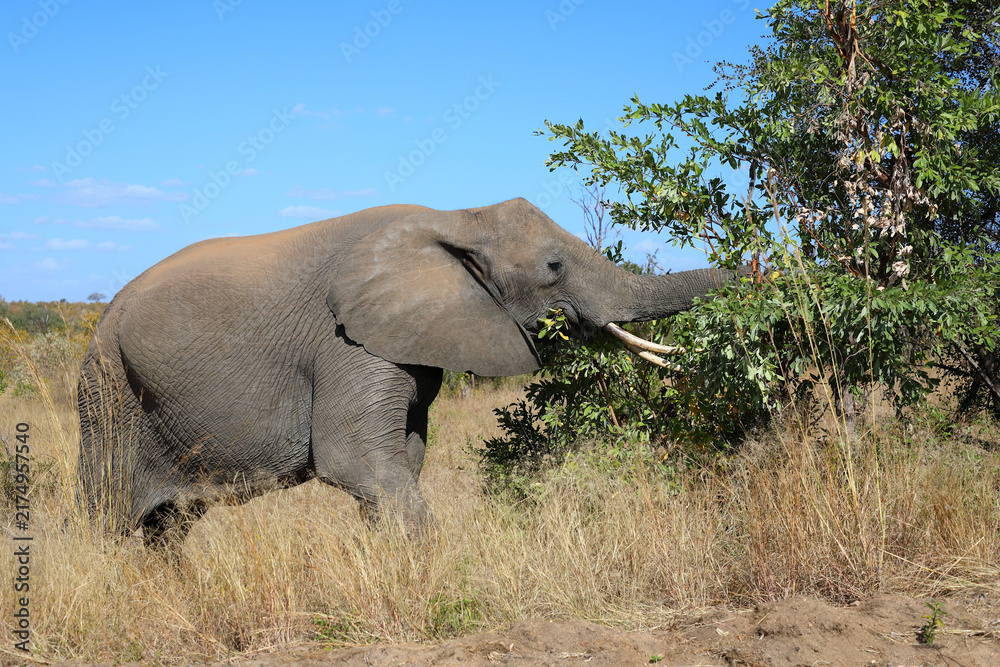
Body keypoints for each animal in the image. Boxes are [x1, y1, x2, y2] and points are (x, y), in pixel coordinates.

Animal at [76, 197, 745, 544]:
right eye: (554, 267)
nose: (760, 269)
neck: (460, 217)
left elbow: (403, 458)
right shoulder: (346, 341)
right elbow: (358, 461)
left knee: (168, 525)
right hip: (107, 391)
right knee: (107, 514)